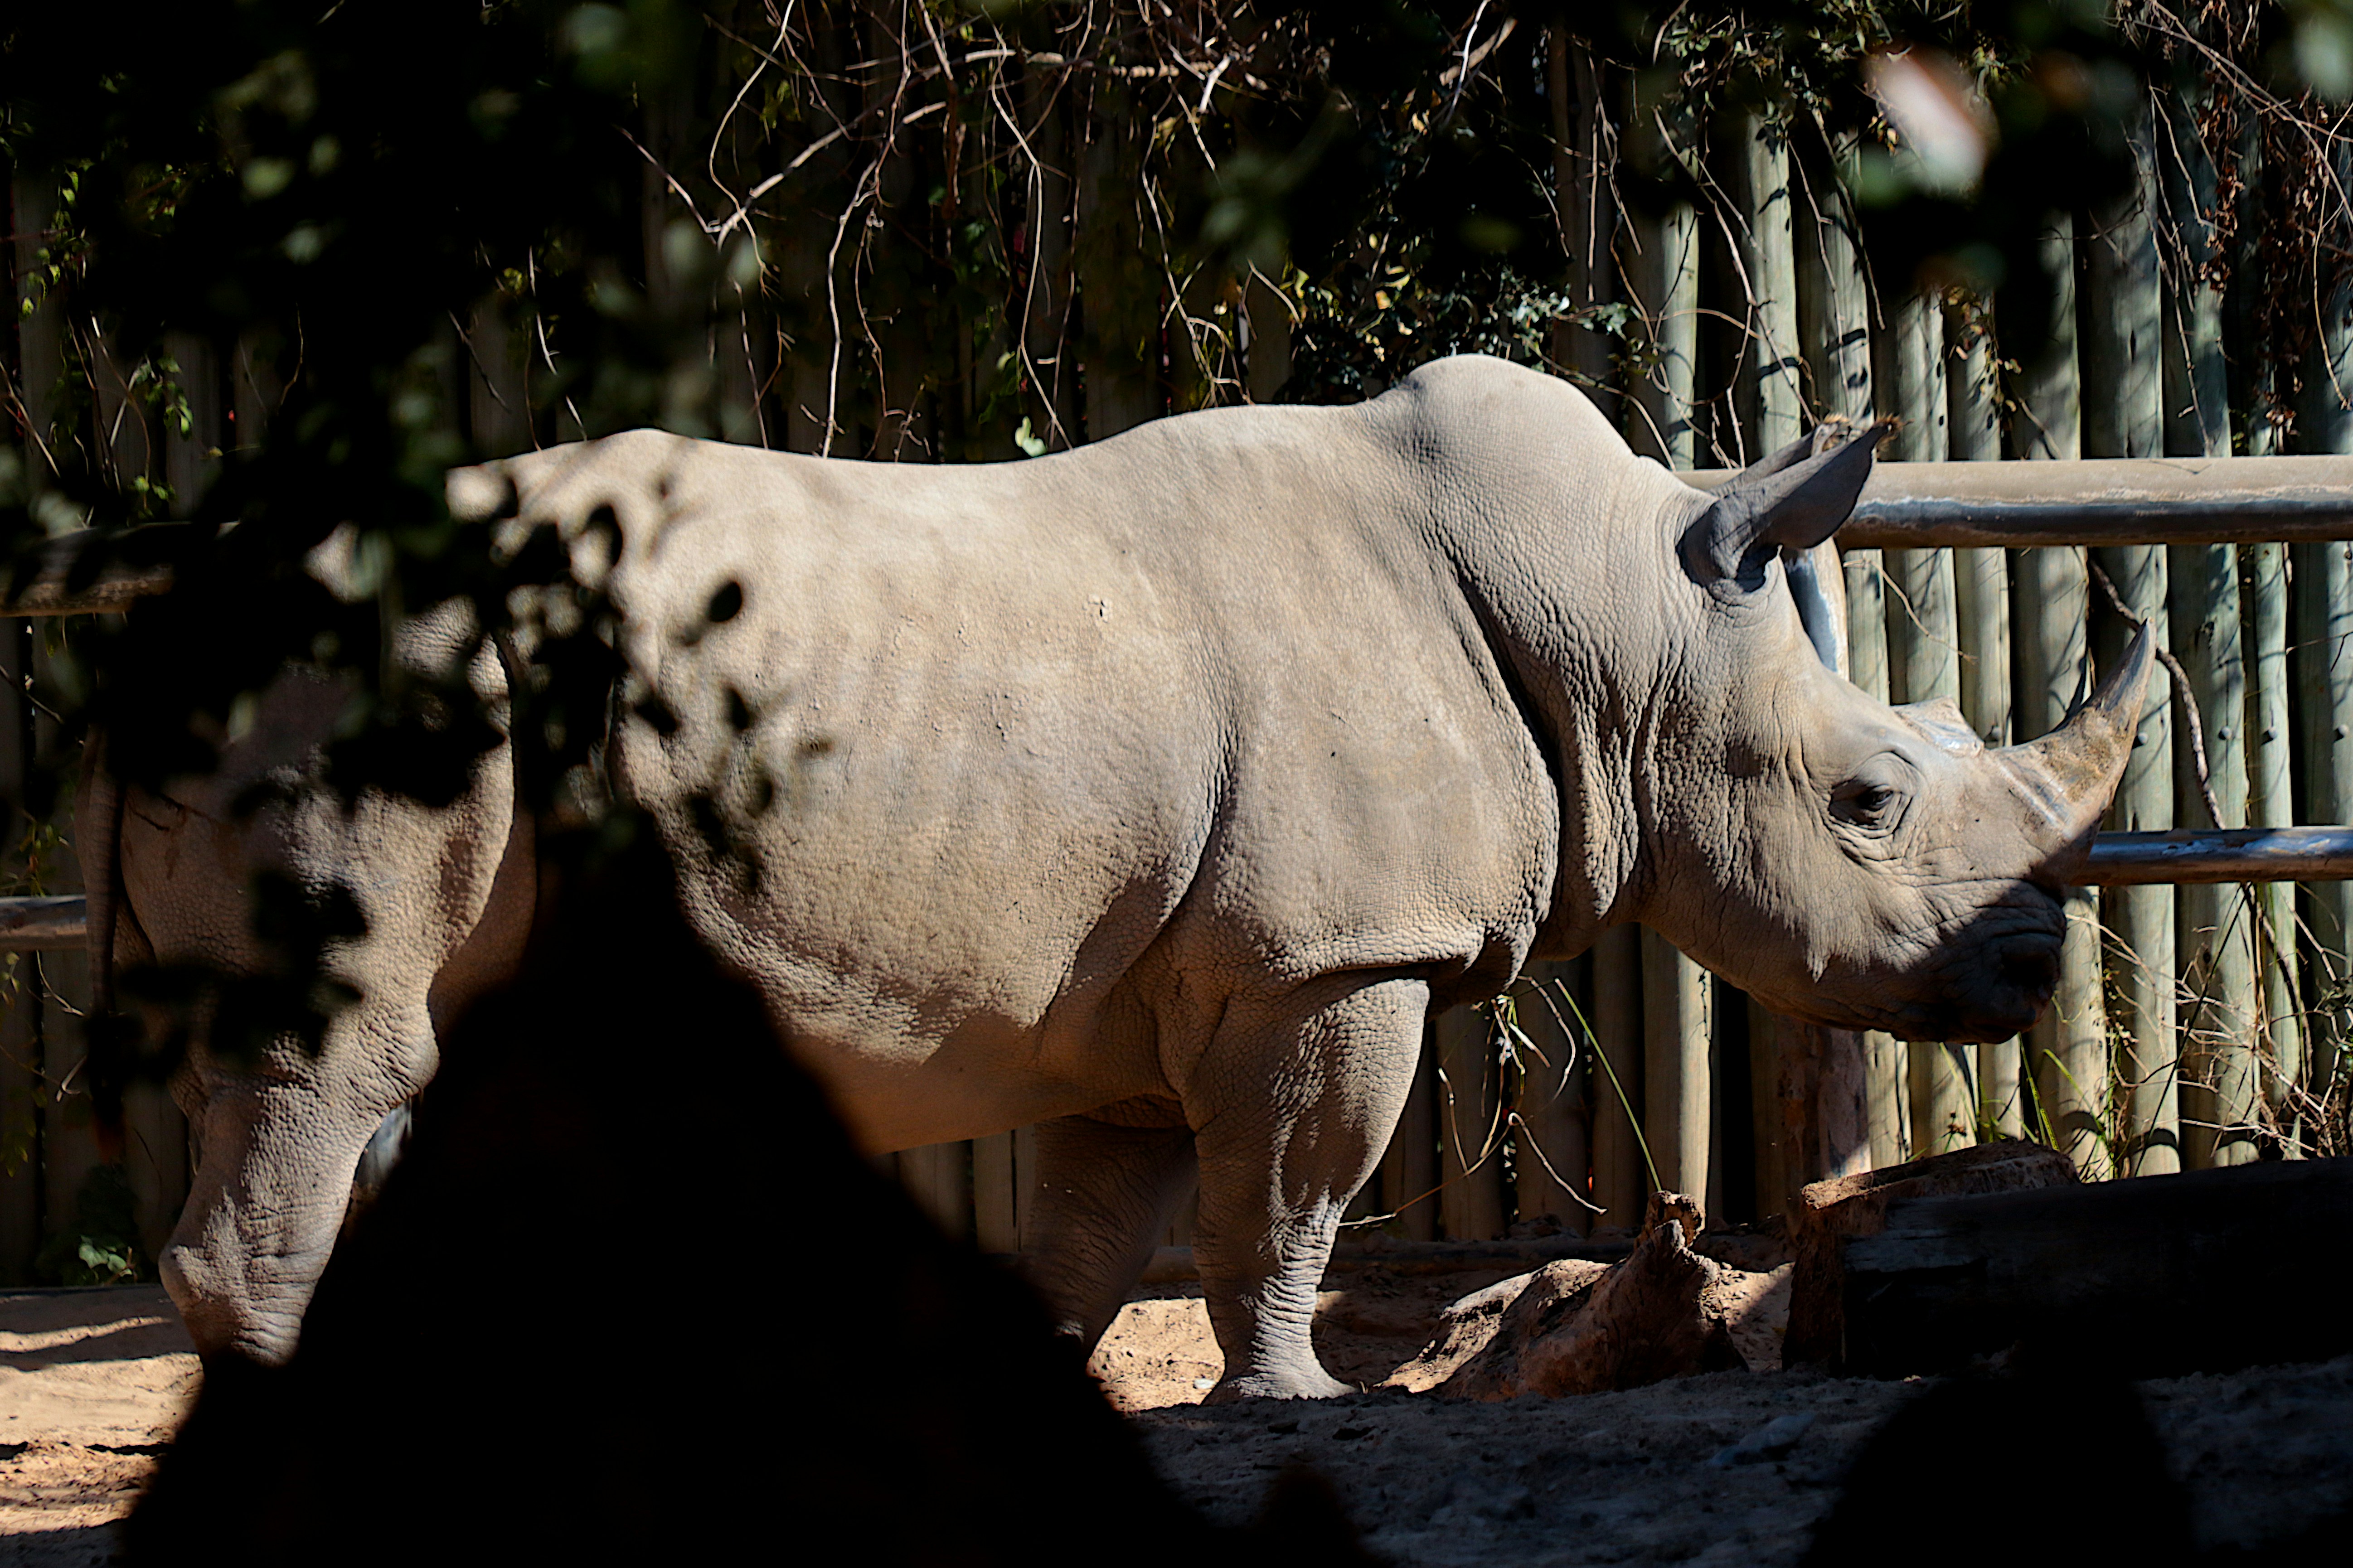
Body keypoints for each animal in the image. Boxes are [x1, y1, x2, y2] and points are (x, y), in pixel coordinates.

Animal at [82, 354, 2147, 1395]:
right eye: (1870, 802)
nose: (2028, 966)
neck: (1626, 627)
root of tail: (159, 616)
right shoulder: (1326, 956)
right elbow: (1290, 1197)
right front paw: (1294, 1402)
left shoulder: (1159, 983)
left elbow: (1092, 1236)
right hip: (381, 668)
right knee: (344, 1056)